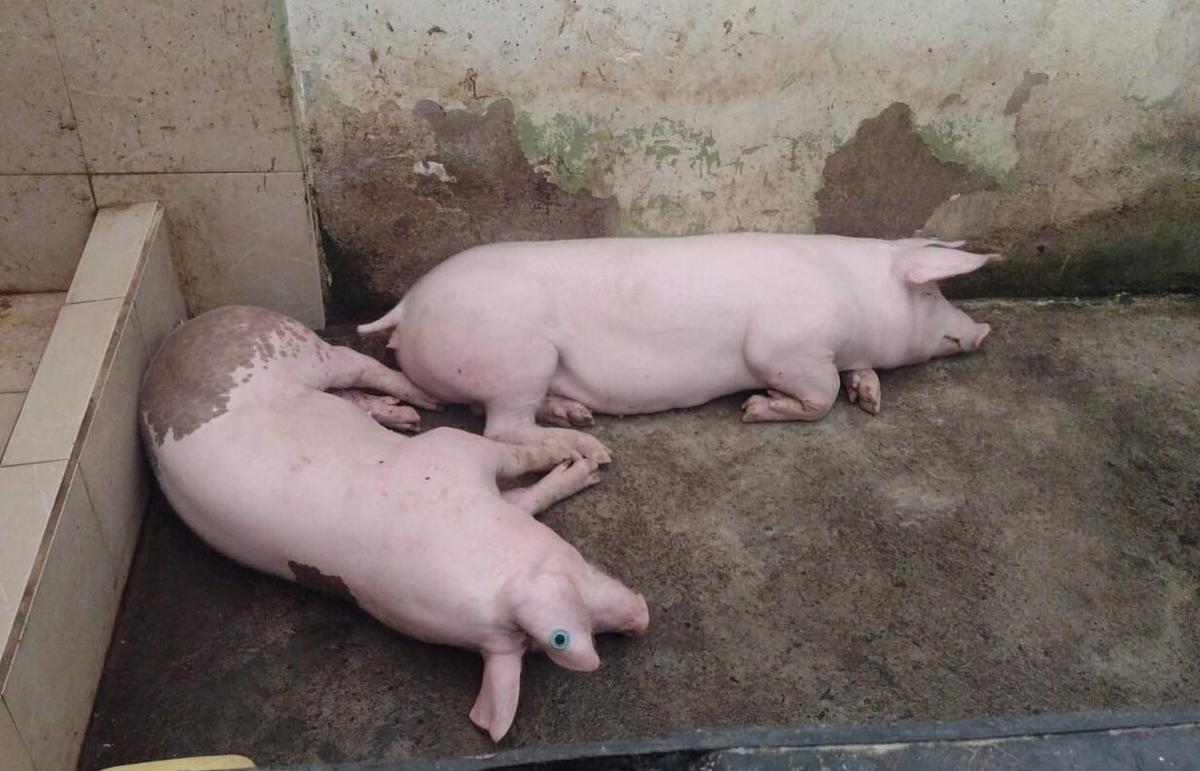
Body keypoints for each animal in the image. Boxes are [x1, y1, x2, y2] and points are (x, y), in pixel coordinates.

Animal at [139, 305, 649, 742]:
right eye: (542, 644)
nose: (642, 620)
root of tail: (180, 335)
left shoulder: (456, 450)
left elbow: (524, 479)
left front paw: (593, 457)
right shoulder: (453, 454)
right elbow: (522, 467)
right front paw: (592, 460)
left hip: (292, 344)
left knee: (360, 371)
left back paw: (416, 408)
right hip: (297, 352)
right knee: (358, 373)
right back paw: (417, 406)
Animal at [359, 234, 999, 461]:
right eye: (933, 290)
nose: (982, 332)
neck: (854, 296)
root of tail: (405, 307)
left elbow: (854, 378)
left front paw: (870, 399)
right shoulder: (787, 345)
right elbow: (816, 395)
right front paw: (755, 409)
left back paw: (576, 414)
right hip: (518, 357)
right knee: (500, 428)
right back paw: (587, 445)